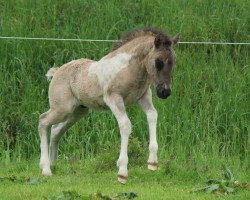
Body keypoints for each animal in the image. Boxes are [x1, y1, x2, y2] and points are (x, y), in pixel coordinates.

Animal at [38, 27, 180, 184]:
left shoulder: (143, 97)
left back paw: (53, 164)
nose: (164, 92)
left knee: (55, 130)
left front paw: (152, 162)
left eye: (174, 61)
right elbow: (125, 125)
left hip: (78, 112)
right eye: (158, 62)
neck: (131, 70)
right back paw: (46, 169)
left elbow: (152, 115)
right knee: (43, 121)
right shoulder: (114, 98)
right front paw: (122, 172)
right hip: (62, 109)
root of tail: (56, 72)